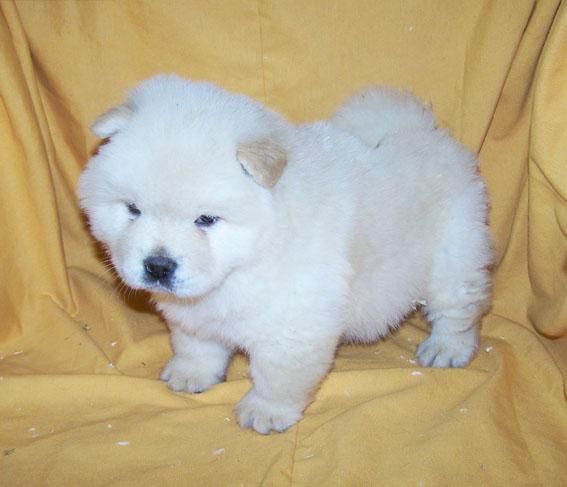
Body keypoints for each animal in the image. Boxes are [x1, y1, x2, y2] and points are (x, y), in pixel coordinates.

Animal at [79, 76, 492, 434]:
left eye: (206, 219)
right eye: (133, 209)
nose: (158, 265)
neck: (243, 265)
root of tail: (421, 131)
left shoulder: (294, 326)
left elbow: (278, 376)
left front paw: (264, 413)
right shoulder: (198, 314)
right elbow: (196, 345)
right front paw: (190, 375)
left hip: (453, 256)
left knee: (459, 311)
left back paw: (446, 350)